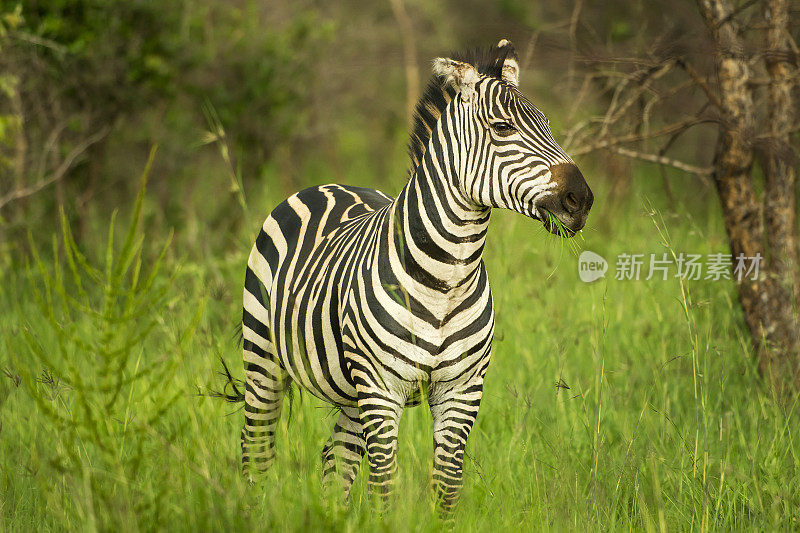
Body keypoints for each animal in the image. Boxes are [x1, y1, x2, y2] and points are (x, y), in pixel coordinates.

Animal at [238, 39, 588, 510]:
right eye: (501, 127)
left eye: (547, 125)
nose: (581, 199)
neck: (447, 281)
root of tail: (326, 185)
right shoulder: (382, 390)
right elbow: (384, 487)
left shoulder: (462, 391)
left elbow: (446, 487)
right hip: (264, 360)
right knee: (256, 452)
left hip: (351, 392)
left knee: (336, 461)